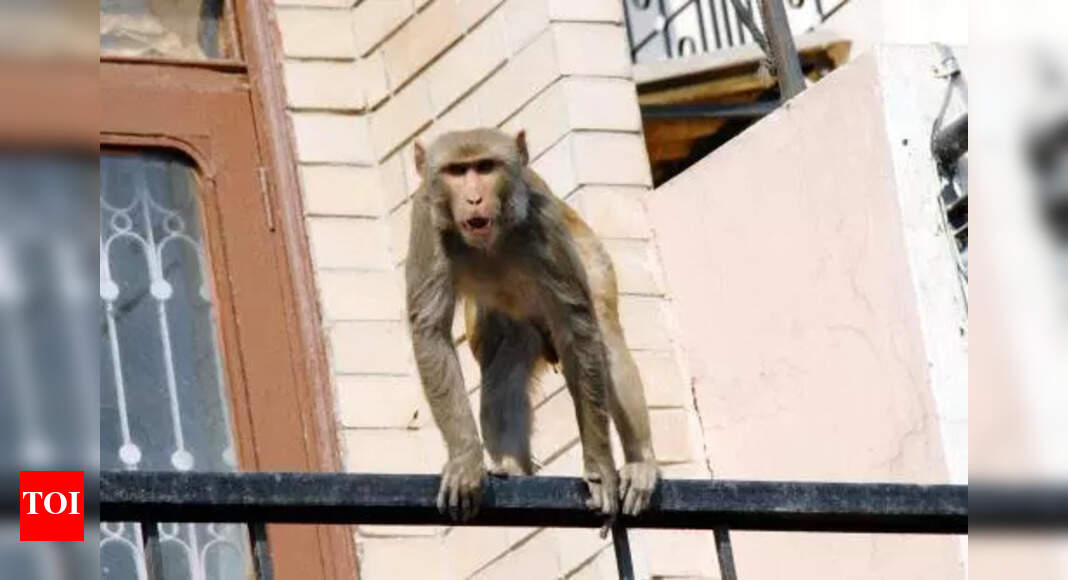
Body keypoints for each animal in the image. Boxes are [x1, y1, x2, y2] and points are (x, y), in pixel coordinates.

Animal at [405, 128, 659, 525]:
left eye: (485, 167)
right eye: (456, 171)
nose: (474, 198)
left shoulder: (544, 222)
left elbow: (578, 326)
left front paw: (599, 468)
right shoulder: (425, 219)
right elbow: (430, 329)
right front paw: (465, 461)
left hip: (591, 256)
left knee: (603, 336)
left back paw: (641, 462)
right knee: (507, 356)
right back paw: (512, 467)